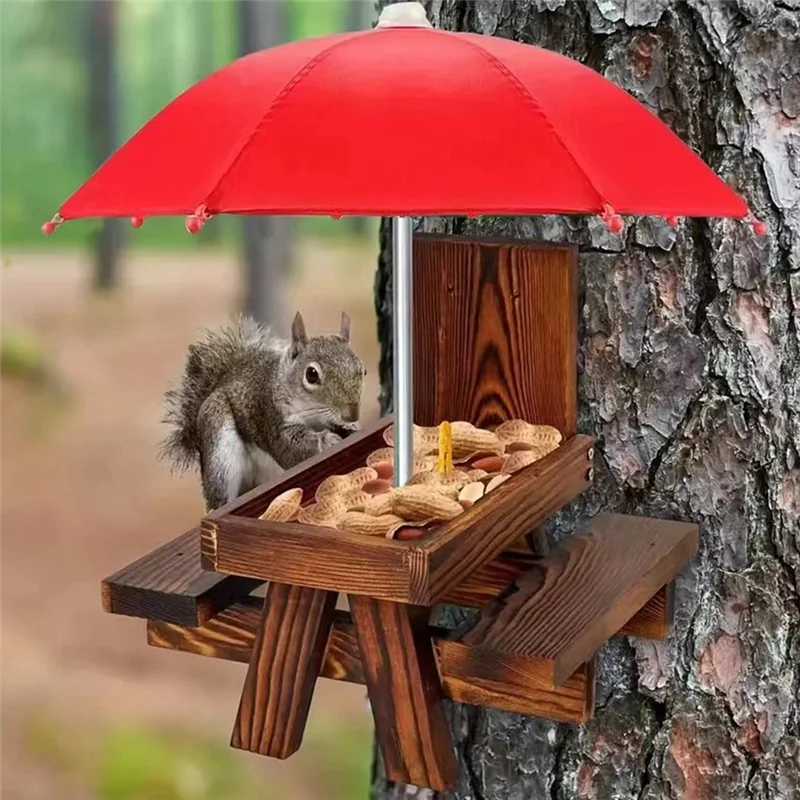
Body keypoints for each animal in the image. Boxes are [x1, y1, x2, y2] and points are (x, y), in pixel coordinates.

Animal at [160, 311, 365, 511]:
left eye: (363, 370)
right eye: (311, 374)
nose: (352, 414)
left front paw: (350, 429)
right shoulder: (272, 416)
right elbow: (289, 448)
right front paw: (328, 440)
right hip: (219, 448)